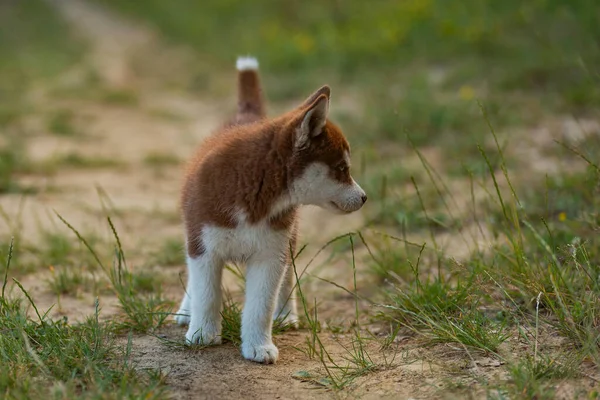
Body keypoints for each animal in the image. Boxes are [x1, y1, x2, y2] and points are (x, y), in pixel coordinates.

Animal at [176, 54, 368, 364]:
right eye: (342, 168)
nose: (364, 198)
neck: (256, 187)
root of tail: (248, 117)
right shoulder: (204, 245)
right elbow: (206, 293)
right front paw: (202, 333)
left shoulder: (270, 254)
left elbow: (261, 306)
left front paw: (258, 345)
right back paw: (186, 310)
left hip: (289, 238)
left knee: (288, 279)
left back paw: (286, 315)